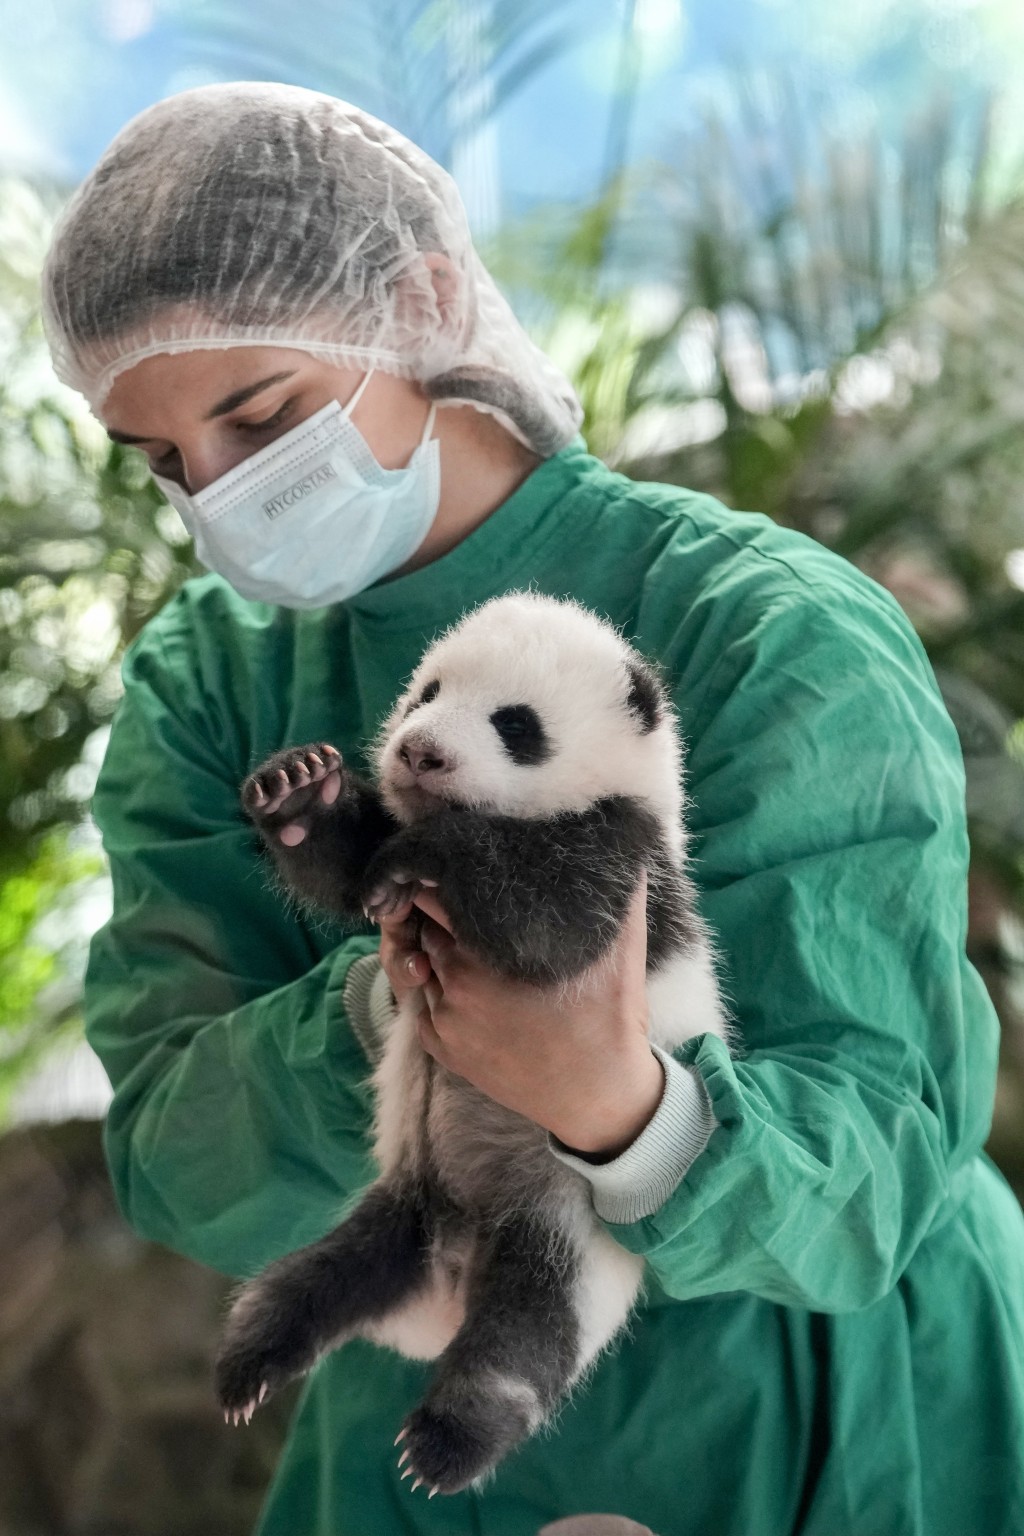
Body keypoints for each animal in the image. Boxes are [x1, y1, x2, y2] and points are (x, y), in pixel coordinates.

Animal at [216, 592, 727, 1492]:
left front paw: (434, 854)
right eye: (426, 693)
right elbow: (347, 873)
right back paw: (252, 1364)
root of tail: (450, 1277)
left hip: (566, 1232)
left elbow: (548, 922)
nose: (420, 752)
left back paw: (448, 1441)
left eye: (516, 724)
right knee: (308, 1284)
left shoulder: (631, 866)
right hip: (400, 1206)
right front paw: (297, 792)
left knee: (524, 1342)